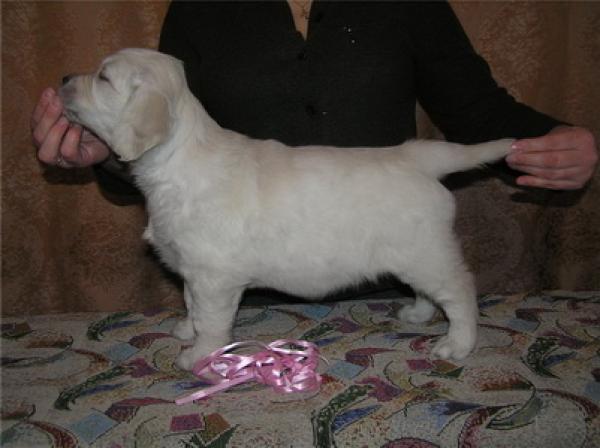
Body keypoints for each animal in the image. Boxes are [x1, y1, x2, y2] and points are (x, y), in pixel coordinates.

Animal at [60, 48, 513, 370]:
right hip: (412, 254)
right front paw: (186, 329)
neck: (177, 159)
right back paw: (418, 313)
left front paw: (198, 355)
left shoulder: (215, 277)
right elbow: (190, 301)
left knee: (460, 291)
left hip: (426, 252)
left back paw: (457, 344)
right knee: (427, 291)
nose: (63, 78)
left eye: (103, 77)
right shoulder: (194, 269)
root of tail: (416, 157)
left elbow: (211, 319)